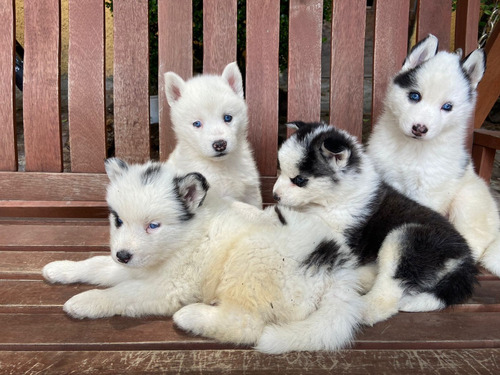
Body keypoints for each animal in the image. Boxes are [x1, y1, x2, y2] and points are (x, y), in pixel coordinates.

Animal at [43, 159, 364, 356]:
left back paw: (192, 316)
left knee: (246, 325)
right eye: (118, 220)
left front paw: (85, 301)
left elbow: (121, 293)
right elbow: (96, 265)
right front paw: (61, 269)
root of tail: (338, 274)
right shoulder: (138, 266)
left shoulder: (169, 286)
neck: (183, 239)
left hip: (250, 260)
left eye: (153, 225)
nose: (122, 255)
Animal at [274, 121, 476, 326]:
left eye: (299, 180)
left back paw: (364, 308)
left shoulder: (340, 234)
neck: (333, 199)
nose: (275, 195)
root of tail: (465, 257)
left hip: (406, 238)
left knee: (389, 291)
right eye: (280, 169)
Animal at [366, 34, 498, 276]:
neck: (411, 149)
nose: (420, 128)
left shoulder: (429, 191)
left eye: (447, 107)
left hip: (467, 202)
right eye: (414, 96)